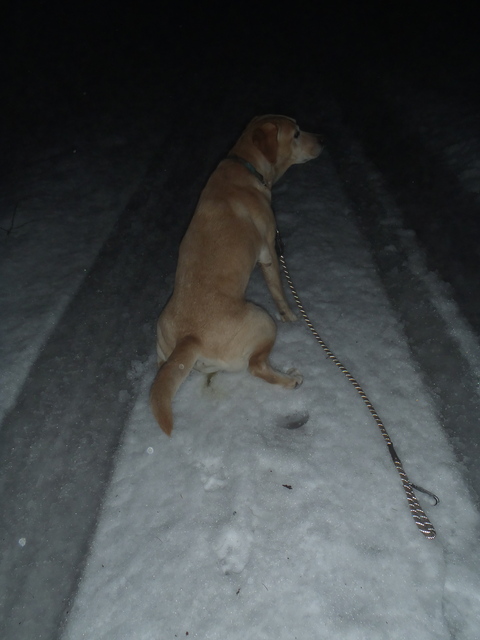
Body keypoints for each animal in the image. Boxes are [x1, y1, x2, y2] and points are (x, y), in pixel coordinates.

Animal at [150, 115, 322, 436]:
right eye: (296, 133)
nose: (323, 140)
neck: (246, 164)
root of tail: (189, 337)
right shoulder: (269, 251)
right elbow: (279, 292)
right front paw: (292, 318)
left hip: (162, 345)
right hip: (263, 322)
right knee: (256, 367)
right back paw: (290, 379)